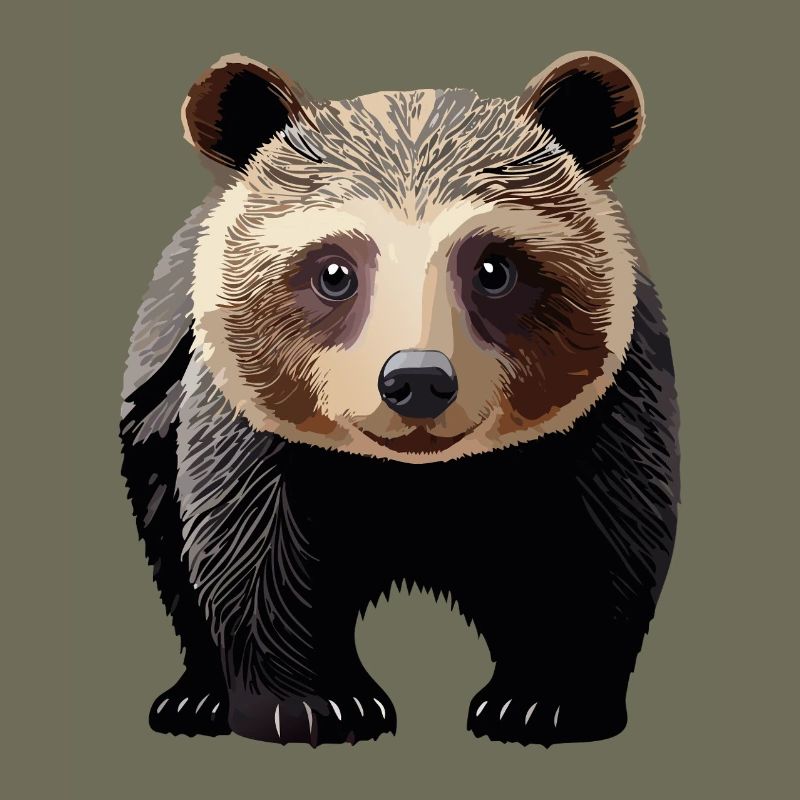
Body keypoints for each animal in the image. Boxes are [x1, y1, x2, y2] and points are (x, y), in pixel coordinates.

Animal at [120, 51, 679, 747]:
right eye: (334, 271)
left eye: (494, 268)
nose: (417, 381)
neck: (416, 475)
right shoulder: (247, 420)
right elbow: (252, 548)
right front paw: (314, 705)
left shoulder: (604, 411)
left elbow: (597, 545)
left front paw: (543, 701)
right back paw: (195, 699)